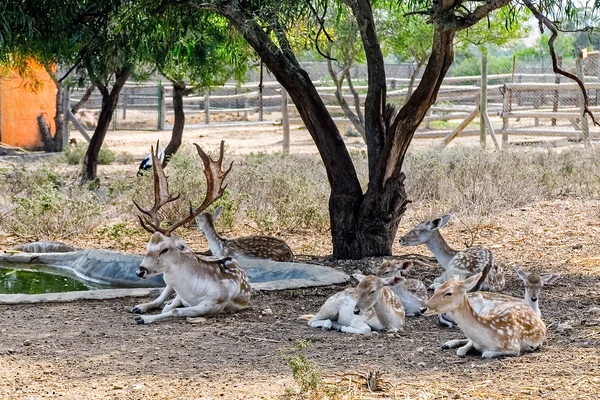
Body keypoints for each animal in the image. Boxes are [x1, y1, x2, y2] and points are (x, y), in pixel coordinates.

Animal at [130, 142, 252, 324]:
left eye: (164, 249)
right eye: (148, 246)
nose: (140, 271)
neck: (192, 292)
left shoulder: (213, 305)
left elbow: (173, 310)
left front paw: (144, 319)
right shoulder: (179, 295)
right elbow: (167, 305)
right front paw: (144, 312)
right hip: (168, 285)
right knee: (160, 297)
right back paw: (139, 306)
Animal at [420, 274, 548, 358]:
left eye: (449, 293)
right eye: (436, 289)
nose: (423, 308)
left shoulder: (513, 347)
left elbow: (485, 353)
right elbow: (466, 347)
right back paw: (447, 344)